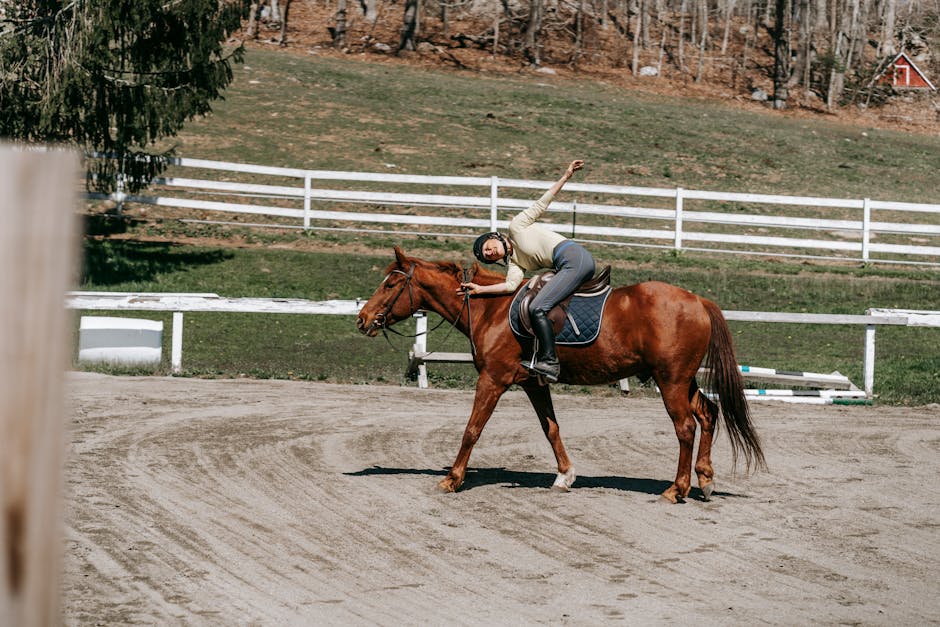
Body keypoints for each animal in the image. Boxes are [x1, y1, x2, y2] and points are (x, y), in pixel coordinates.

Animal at [354, 248, 764, 502]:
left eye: (390, 284)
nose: (362, 319)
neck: (492, 309)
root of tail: (698, 301)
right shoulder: (532, 385)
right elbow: (551, 429)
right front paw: (565, 476)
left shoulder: (493, 381)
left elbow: (472, 429)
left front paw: (452, 479)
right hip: (682, 379)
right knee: (708, 413)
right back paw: (705, 480)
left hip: (671, 381)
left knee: (685, 427)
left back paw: (676, 489)